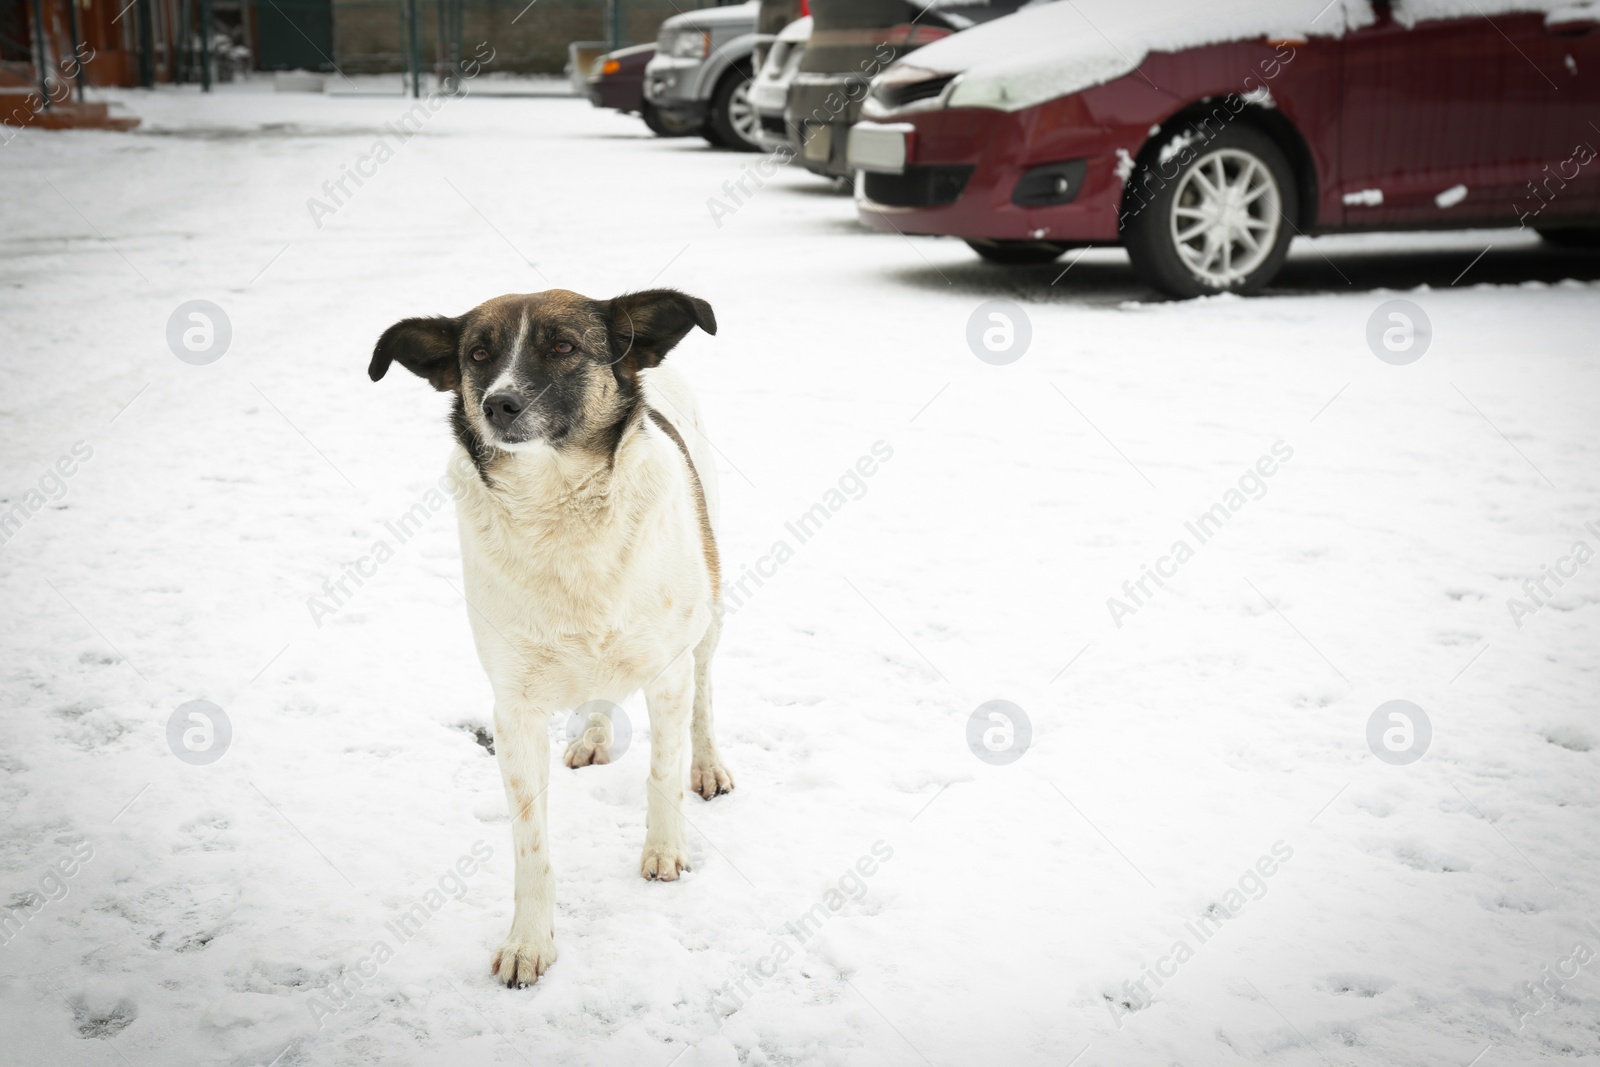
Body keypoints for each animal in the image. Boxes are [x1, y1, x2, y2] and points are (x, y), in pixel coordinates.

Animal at [369, 287, 736, 991]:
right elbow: (529, 843)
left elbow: (662, 773)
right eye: (477, 355)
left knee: (705, 693)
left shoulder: (666, 672)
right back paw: (593, 735)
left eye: (563, 346)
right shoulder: (514, 710)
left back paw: (707, 765)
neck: (558, 509)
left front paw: (665, 851)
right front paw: (528, 943)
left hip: (708, 611)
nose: (497, 404)